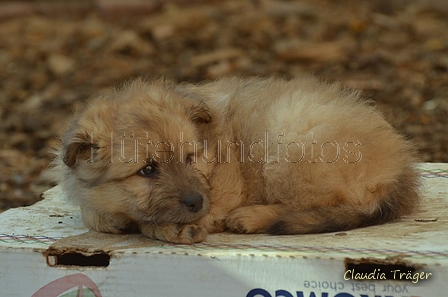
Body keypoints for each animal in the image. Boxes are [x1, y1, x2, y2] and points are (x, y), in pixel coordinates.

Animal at [53, 76, 420, 243]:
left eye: (190, 157)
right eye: (147, 170)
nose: (196, 202)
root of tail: (400, 171)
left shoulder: (226, 189)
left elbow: (150, 222)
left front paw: (173, 229)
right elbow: (93, 214)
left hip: (289, 146)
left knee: (324, 204)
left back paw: (251, 217)